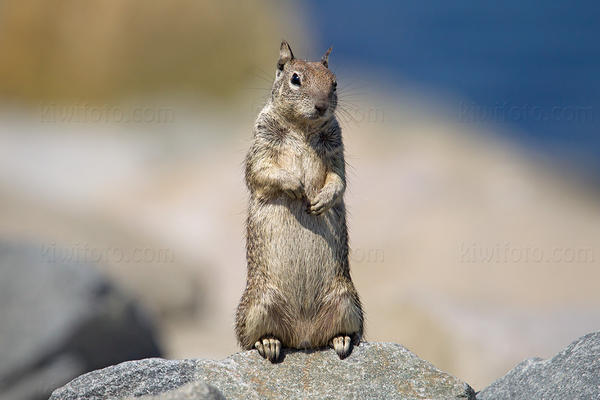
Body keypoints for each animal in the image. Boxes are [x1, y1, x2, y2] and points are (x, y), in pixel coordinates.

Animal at [237, 40, 364, 362]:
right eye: (295, 79)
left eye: (334, 83)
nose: (321, 105)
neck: (302, 128)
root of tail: (303, 337)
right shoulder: (260, 145)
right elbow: (260, 172)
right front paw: (295, 185)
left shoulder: (337, 151)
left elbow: (339, 181)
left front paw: (321, 200)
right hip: (257, 305)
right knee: (250, 339)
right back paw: (268, 343)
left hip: (348, 301)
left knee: (343, 332)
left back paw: (341, 339)